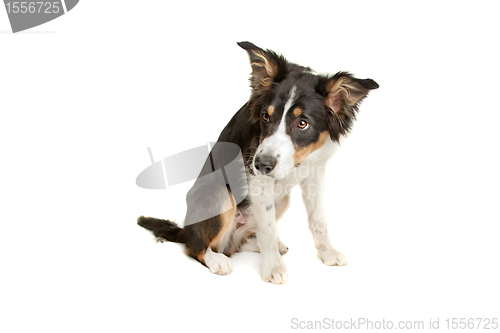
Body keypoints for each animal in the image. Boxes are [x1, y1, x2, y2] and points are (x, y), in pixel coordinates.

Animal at [138, 41, 378, 282]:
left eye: (303, 123)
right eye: (265, 116)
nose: (261, 164)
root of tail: (185, 231)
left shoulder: (314, 171)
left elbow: (318, 218)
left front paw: (327, 252)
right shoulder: (258, 179)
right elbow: (269, 228)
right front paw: (273, 267)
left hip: (282, 201)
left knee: (238, 243)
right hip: (220, 194)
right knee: (196, 247)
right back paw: (216, 259)